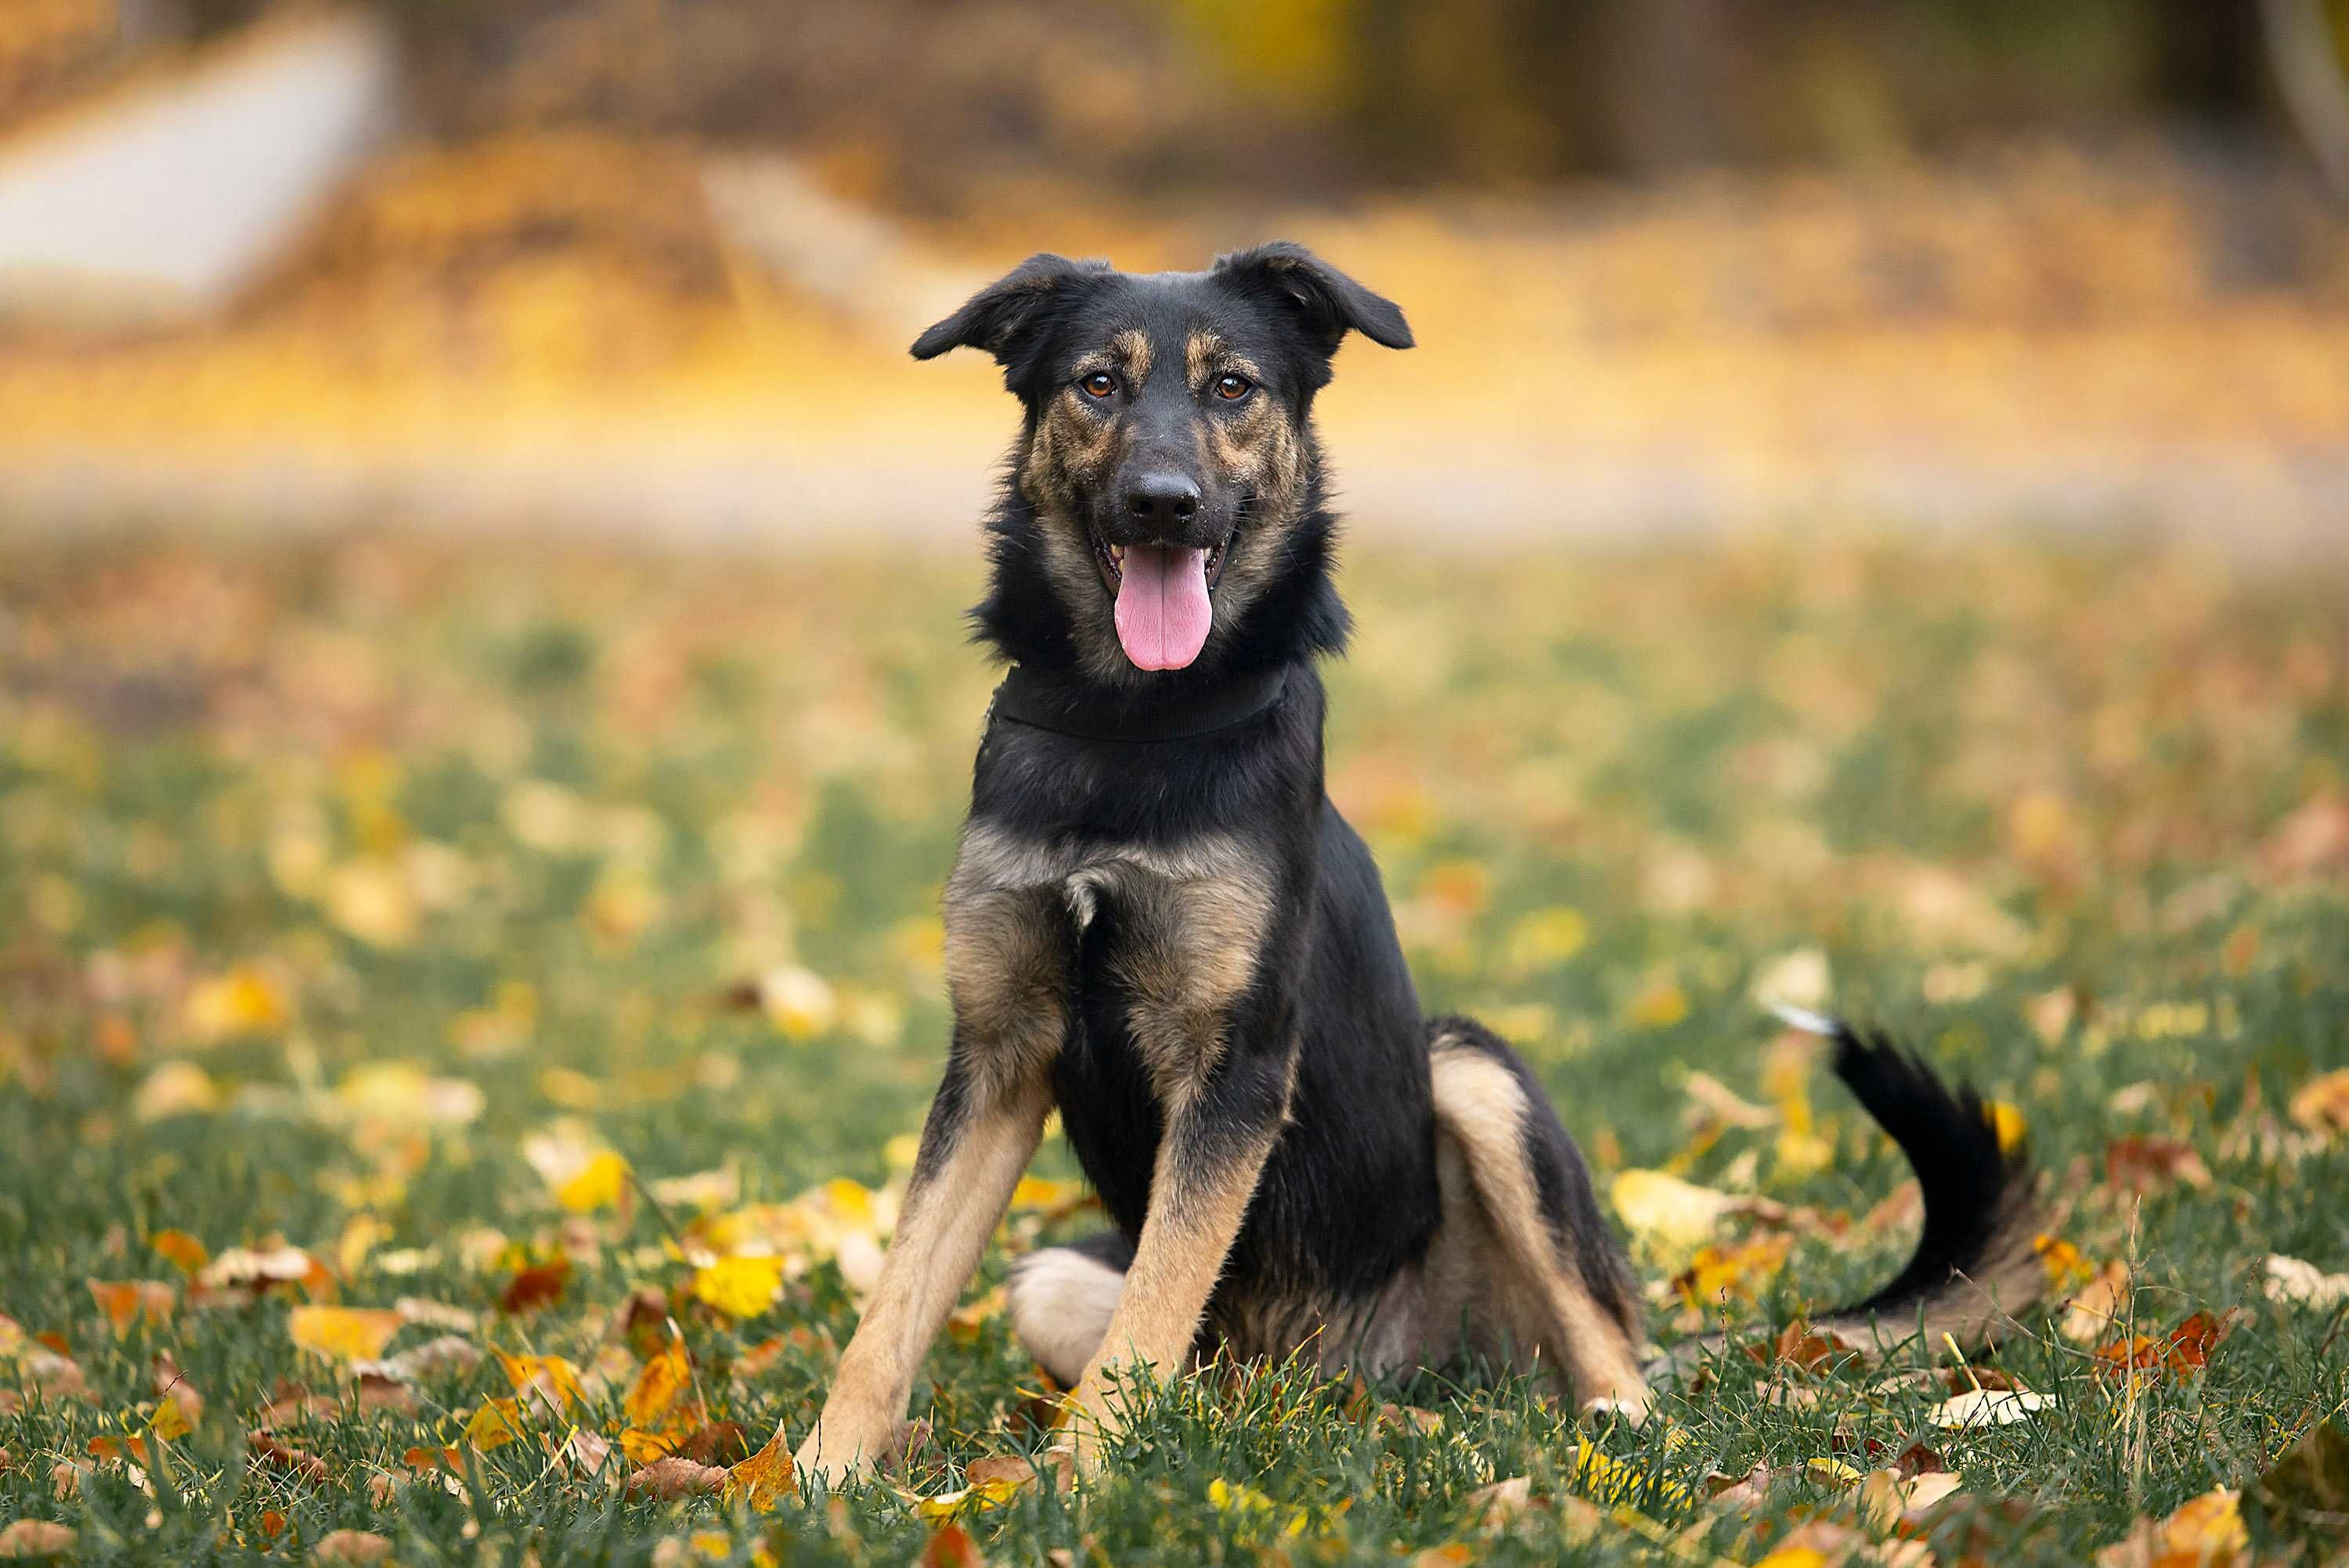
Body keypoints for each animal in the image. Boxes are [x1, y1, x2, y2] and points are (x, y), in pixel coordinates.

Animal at [789, 245, 2039, 1483]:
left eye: (1233, 387)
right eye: (1097, 383)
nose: (1163, 504)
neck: (1130, 728)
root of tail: (1364, 1377)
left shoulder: (1235, 1069)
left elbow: (1146, 1315)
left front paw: (1078, 1483)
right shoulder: (997, 1055)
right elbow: (893, 1310)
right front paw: (817, 1476)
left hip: (1474, 1072)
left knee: (1609, 1357)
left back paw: (1613, 1428)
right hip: (1052, 1276)